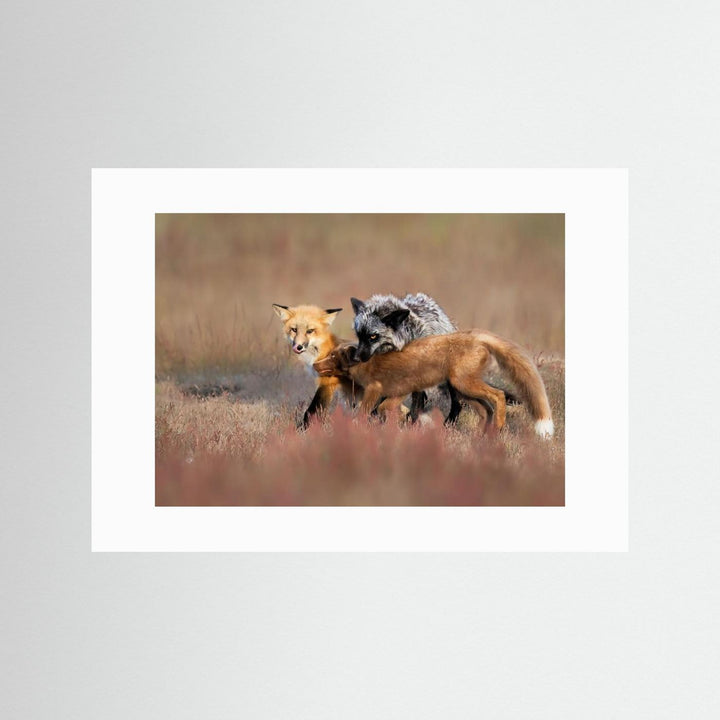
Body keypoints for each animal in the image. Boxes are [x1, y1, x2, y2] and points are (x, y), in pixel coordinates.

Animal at [313, 329, 554, 438]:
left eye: (333, 356)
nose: (315, 364)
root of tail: (476, 335)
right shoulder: (399, 392)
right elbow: (387, 409)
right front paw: (397, 425)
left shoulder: (377, 389)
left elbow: (367, 411)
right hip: (463, 391)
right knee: (486, 409)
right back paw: (481, 436)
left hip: (464, 384)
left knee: (498, 396)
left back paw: (499, 427)